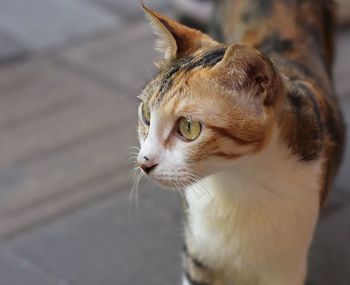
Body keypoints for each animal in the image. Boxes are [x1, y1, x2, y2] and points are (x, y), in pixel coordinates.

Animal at [136, 0, 344, 284]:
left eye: (188, 127)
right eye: (146, 114)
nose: (143, 162)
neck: (238, 182)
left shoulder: (286, 266)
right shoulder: (198, 255)